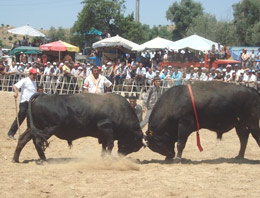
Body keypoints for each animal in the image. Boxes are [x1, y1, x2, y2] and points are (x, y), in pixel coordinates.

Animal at [12, 93, 144, 162]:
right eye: (134, 143)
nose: (121, 155)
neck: (119, 109)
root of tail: (42, 95)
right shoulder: (106, 128)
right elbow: (110, 144)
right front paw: (108, 158)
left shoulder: (103, 134)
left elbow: (104, 146)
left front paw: (103, 157)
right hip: (47, 129)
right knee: (38, 142)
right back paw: (44, 160)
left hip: (32, 128)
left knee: (23, 139)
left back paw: (16, 159)